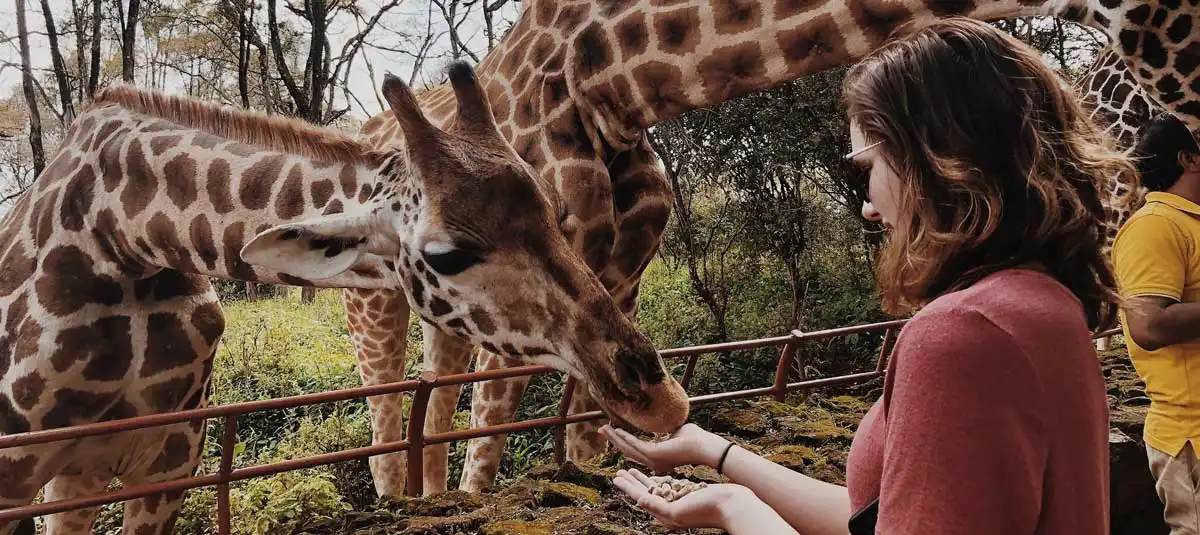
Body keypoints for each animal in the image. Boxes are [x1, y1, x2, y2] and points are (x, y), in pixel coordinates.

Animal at [0, 60, 691, 532]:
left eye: (553, 212)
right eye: (446, 254)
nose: (662, 399)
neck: (122, 242)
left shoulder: (164, 467)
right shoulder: (23, 473)